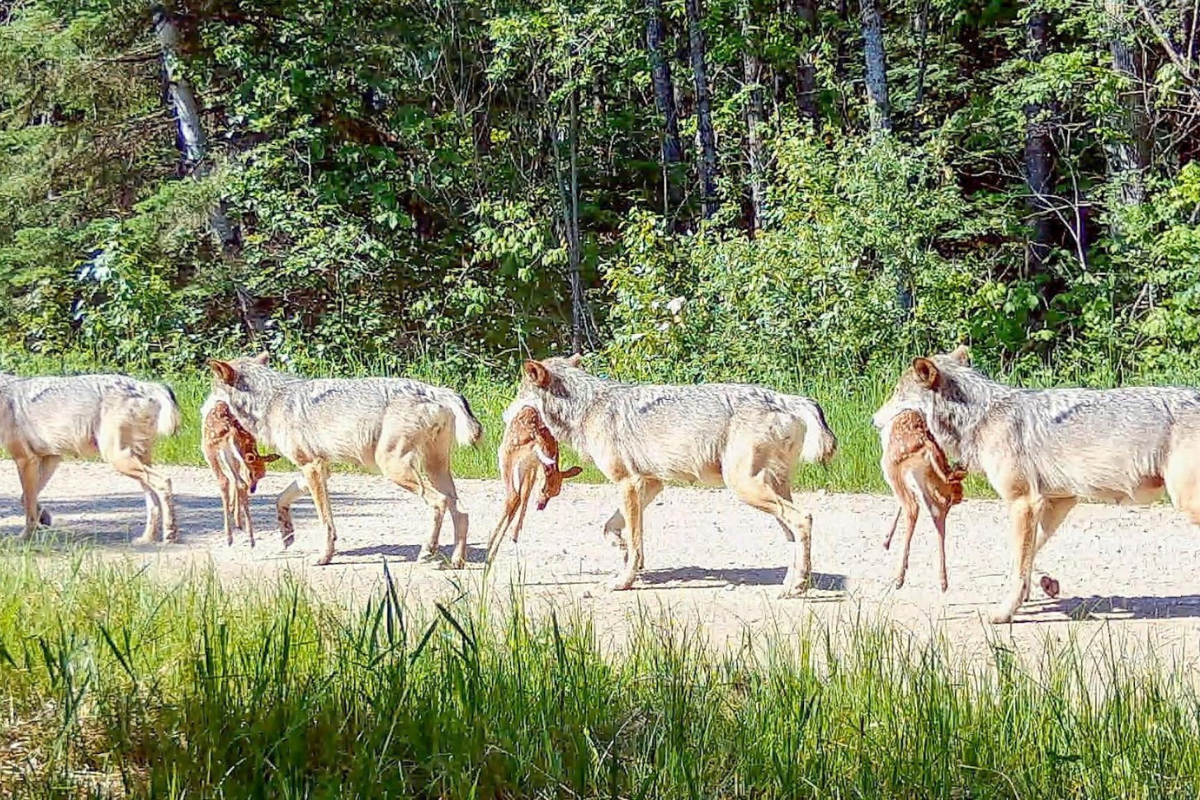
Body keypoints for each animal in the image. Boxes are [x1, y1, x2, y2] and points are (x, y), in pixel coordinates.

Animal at [0, 372, 181, 542]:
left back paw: (169, 534)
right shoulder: (51, 457)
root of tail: (151, 386)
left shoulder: (25, 459)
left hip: (118, 459)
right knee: (153, 502)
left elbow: (28, 503)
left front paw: (24, 537)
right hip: (136, 463)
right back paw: (147, 538)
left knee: (164, 482)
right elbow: (26, 498)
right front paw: (44, 518)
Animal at [204, 353, 483, 567]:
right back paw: (456, 561)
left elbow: (326, 523)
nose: (202, 408)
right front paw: (286, 533)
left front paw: (323, 557)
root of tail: (438, 391)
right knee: (461, 512)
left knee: (440, 502)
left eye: (212, 391)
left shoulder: (313, 468)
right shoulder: (316, 469)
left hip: (395, 468)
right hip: (434, 469)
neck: (271, 400)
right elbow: (281, 498)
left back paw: (428, 550)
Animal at [514, 356, 838, 595]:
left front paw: (623, 581)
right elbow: (613, 528)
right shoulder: (651, 484)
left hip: (746, 489)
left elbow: (635, 542)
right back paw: (793, 583)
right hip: (769, 493)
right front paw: (620, 549)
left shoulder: (628, 483)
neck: (588, 406)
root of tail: (788, 399)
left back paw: (796, 586)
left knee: (804, 518)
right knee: (793, 533)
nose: (507, 414)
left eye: (518, 395)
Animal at [873, 345, 1200, 622]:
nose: (873, 421)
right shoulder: (1058, 502)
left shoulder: (1023, 503)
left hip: (1187, 503)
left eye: (896, 393)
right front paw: (1036, 591)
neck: (982, 417)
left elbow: (1019, 563)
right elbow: (1024, 558)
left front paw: (1004, 613)